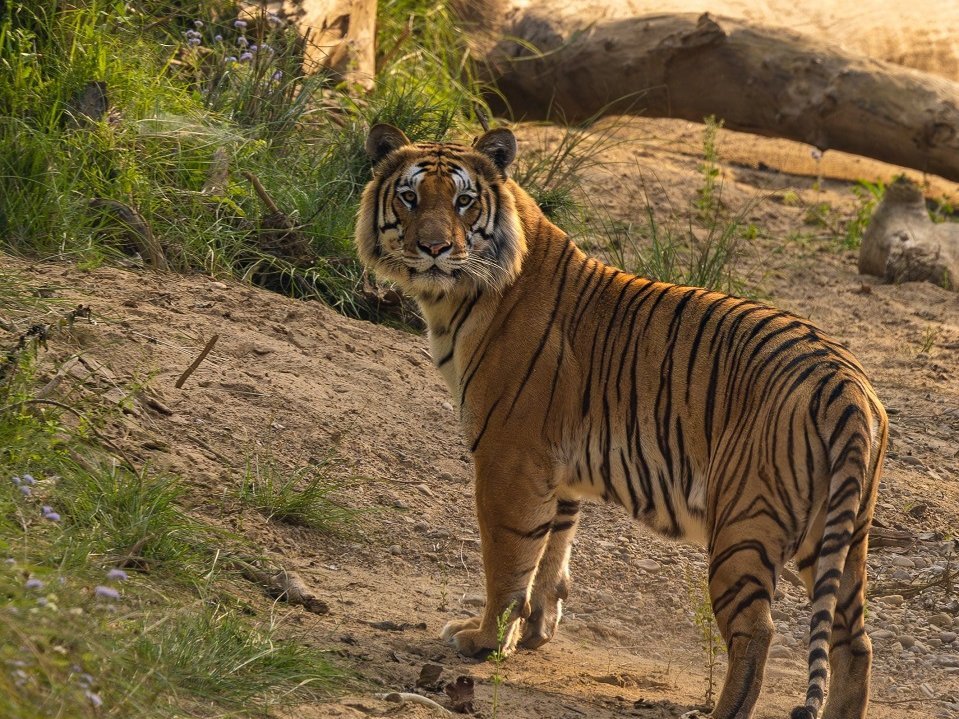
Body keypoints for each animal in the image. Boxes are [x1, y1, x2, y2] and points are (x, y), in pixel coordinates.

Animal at [355, 123, 887, 719]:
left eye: (464, 202)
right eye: (409, 197)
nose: (434, 248)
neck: (456, 298)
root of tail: (845, 383)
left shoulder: (507, 460)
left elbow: (509, 559)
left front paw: (485, 640)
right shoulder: (556, 473)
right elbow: (550, 555)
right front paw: (533, 633)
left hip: (744, 525)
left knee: (758, 632)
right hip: (840, 539)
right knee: (855, 642)